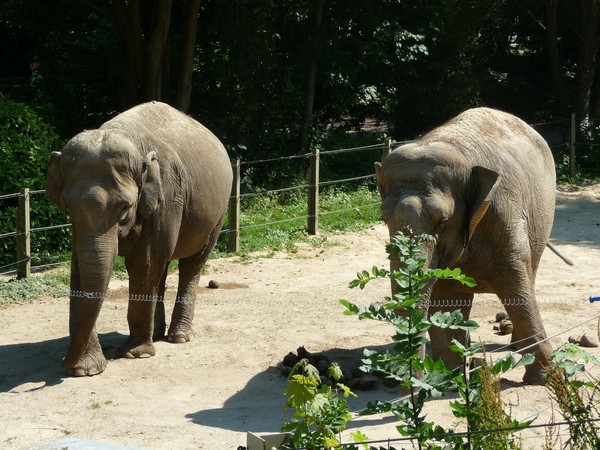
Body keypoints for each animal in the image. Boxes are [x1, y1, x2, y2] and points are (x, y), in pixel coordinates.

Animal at [45, 101, 233, 376]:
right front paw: (85, 369)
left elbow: (144, 262)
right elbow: (79, 268)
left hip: (218, 212)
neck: (123, 133)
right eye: (68, 208)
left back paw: (178, 337)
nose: (65, 362)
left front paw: (136, 354)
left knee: (191, 263)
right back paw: (157, 333)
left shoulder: (168, 196)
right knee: (163, 266)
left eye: (125, 207)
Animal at [372, 107, 564, 384]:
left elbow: (517, 289)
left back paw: (516, 348)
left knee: (530, 274)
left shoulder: (503, 213)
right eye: (384, 218)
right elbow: (443, 297)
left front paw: (550, 378)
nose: (414, 385)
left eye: (441, 222)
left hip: (543, 219)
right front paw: (449, 378)